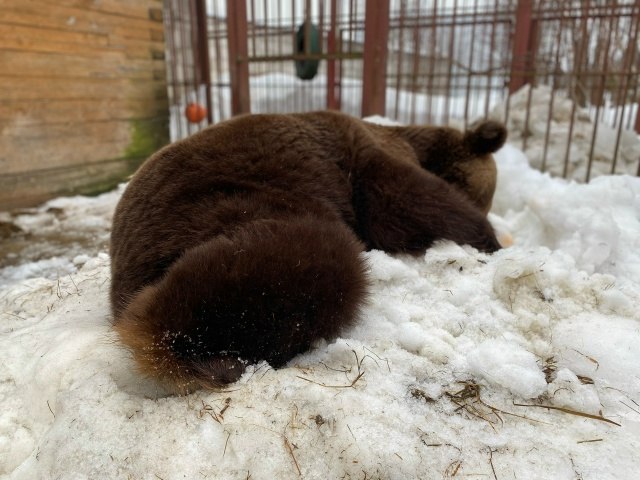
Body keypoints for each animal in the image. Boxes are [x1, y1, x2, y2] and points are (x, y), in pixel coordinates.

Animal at [110, 111, 507, 394]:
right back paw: (212, 359)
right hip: (222, 204)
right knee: (314, 260)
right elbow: (412, 203)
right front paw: (489, 239)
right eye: (485, 199)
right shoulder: (365, 162)